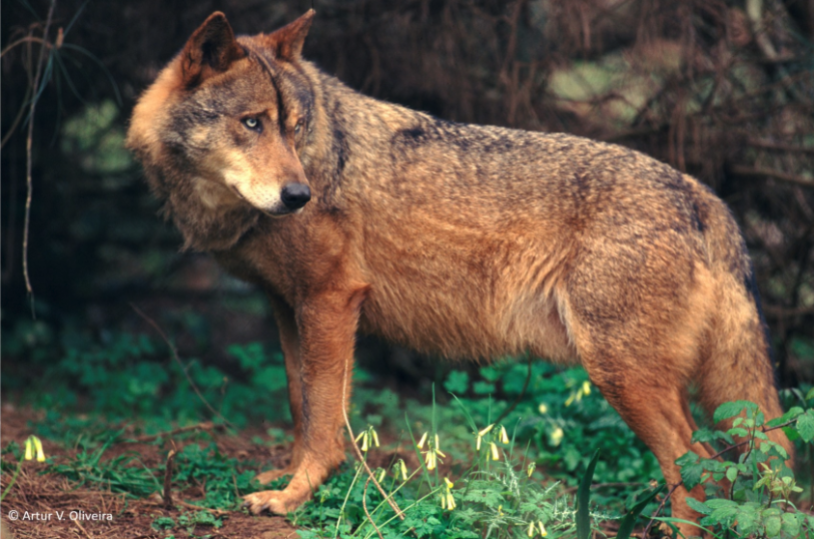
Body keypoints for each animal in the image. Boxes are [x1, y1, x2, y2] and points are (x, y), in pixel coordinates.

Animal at [126, 10, 794, 536]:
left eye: (294, 129)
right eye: (252, 123)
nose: (299, 195)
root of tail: (701, 194)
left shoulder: (333, 300)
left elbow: (322, 420)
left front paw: (294, 496)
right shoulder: (289, 307)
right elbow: (301, 402)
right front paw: (288, 476)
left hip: (622, 375)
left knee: (699, 469)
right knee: (739, 465)